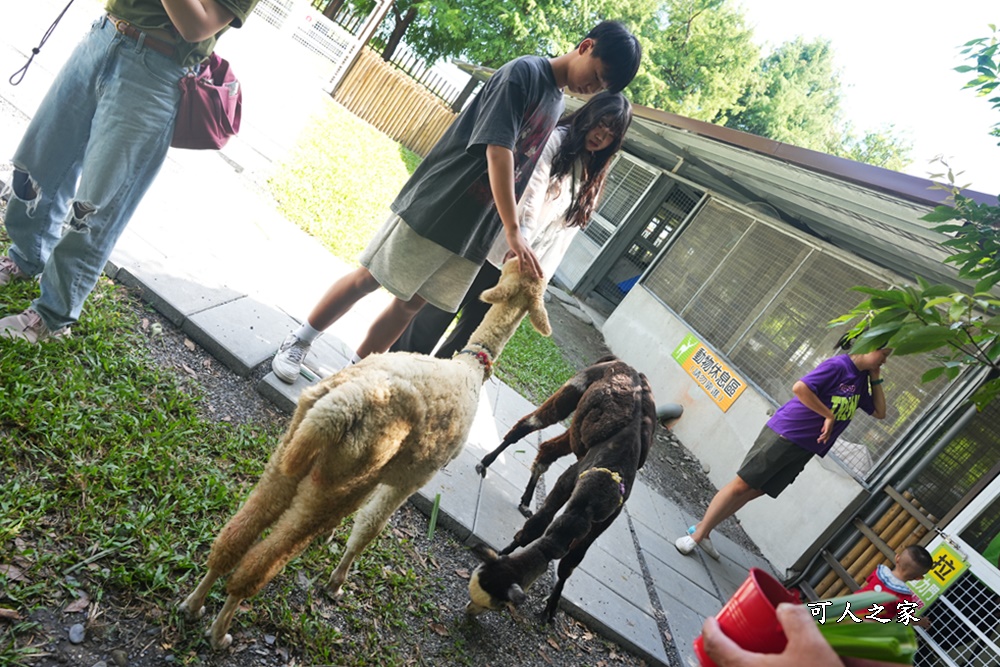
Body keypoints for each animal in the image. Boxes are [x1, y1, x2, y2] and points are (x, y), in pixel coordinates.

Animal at [178, 258, 548, 648]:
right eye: (533, 273)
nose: (505, 258)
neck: (472, 369)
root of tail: (340, 406)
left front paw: (329, 545)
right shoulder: (414, 477)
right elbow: (370, 526)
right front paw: (336, 585)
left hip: (292, 453)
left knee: (236, 535)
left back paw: (193, 605)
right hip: (346, 475)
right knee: (262, 561)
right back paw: (221, 633)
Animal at [468, 358, 656, 624]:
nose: (471, 610)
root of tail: (620, 363)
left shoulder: (607, 516)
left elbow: (571, 561)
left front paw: (551, 607)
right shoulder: (570, 480)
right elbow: (538, 526)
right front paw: (506, 550)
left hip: (577, 433)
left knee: (548, 449)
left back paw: (526, 501)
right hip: (570, 393)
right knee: (526, 426)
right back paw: (485, 463)